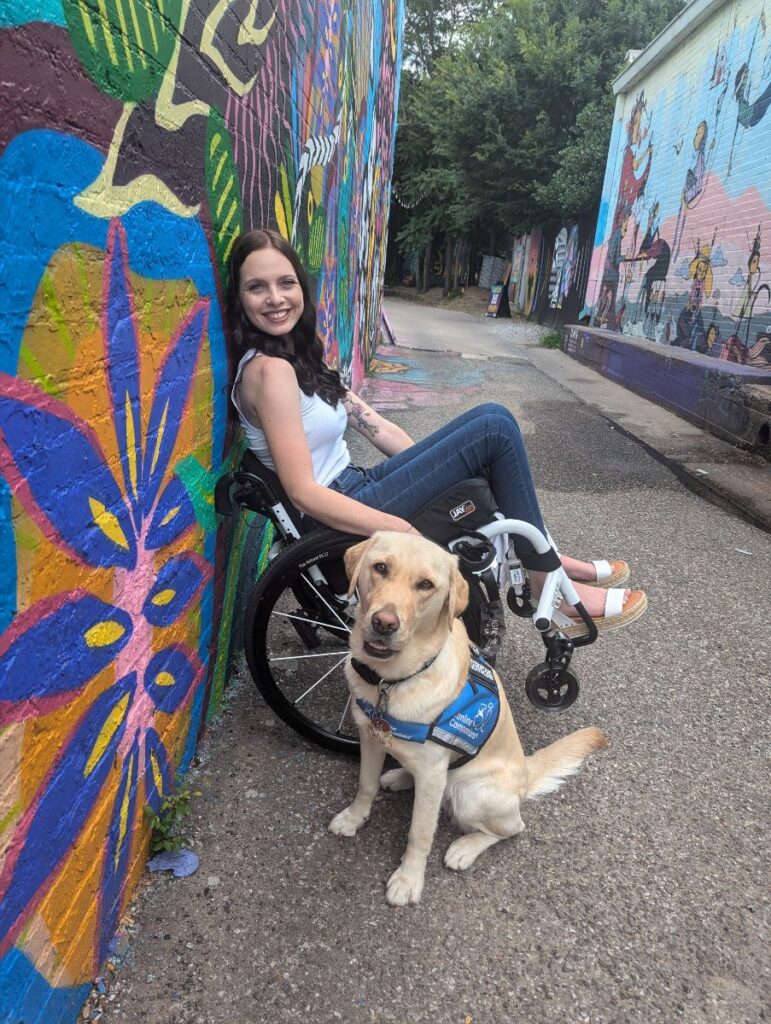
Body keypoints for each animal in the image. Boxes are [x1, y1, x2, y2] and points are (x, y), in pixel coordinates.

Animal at [331, 532, 606, 909]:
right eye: (380, 567)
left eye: (426, 585)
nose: (384, 623)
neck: (392, 681)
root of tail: (525, 774)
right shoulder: (370, 737)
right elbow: (365, 785)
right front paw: (353, 818)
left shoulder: (431, 773)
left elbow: (420, 832)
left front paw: (408, 880)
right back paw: (400, 775)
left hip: (470, 792)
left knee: (512, 827)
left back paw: (464, 848)